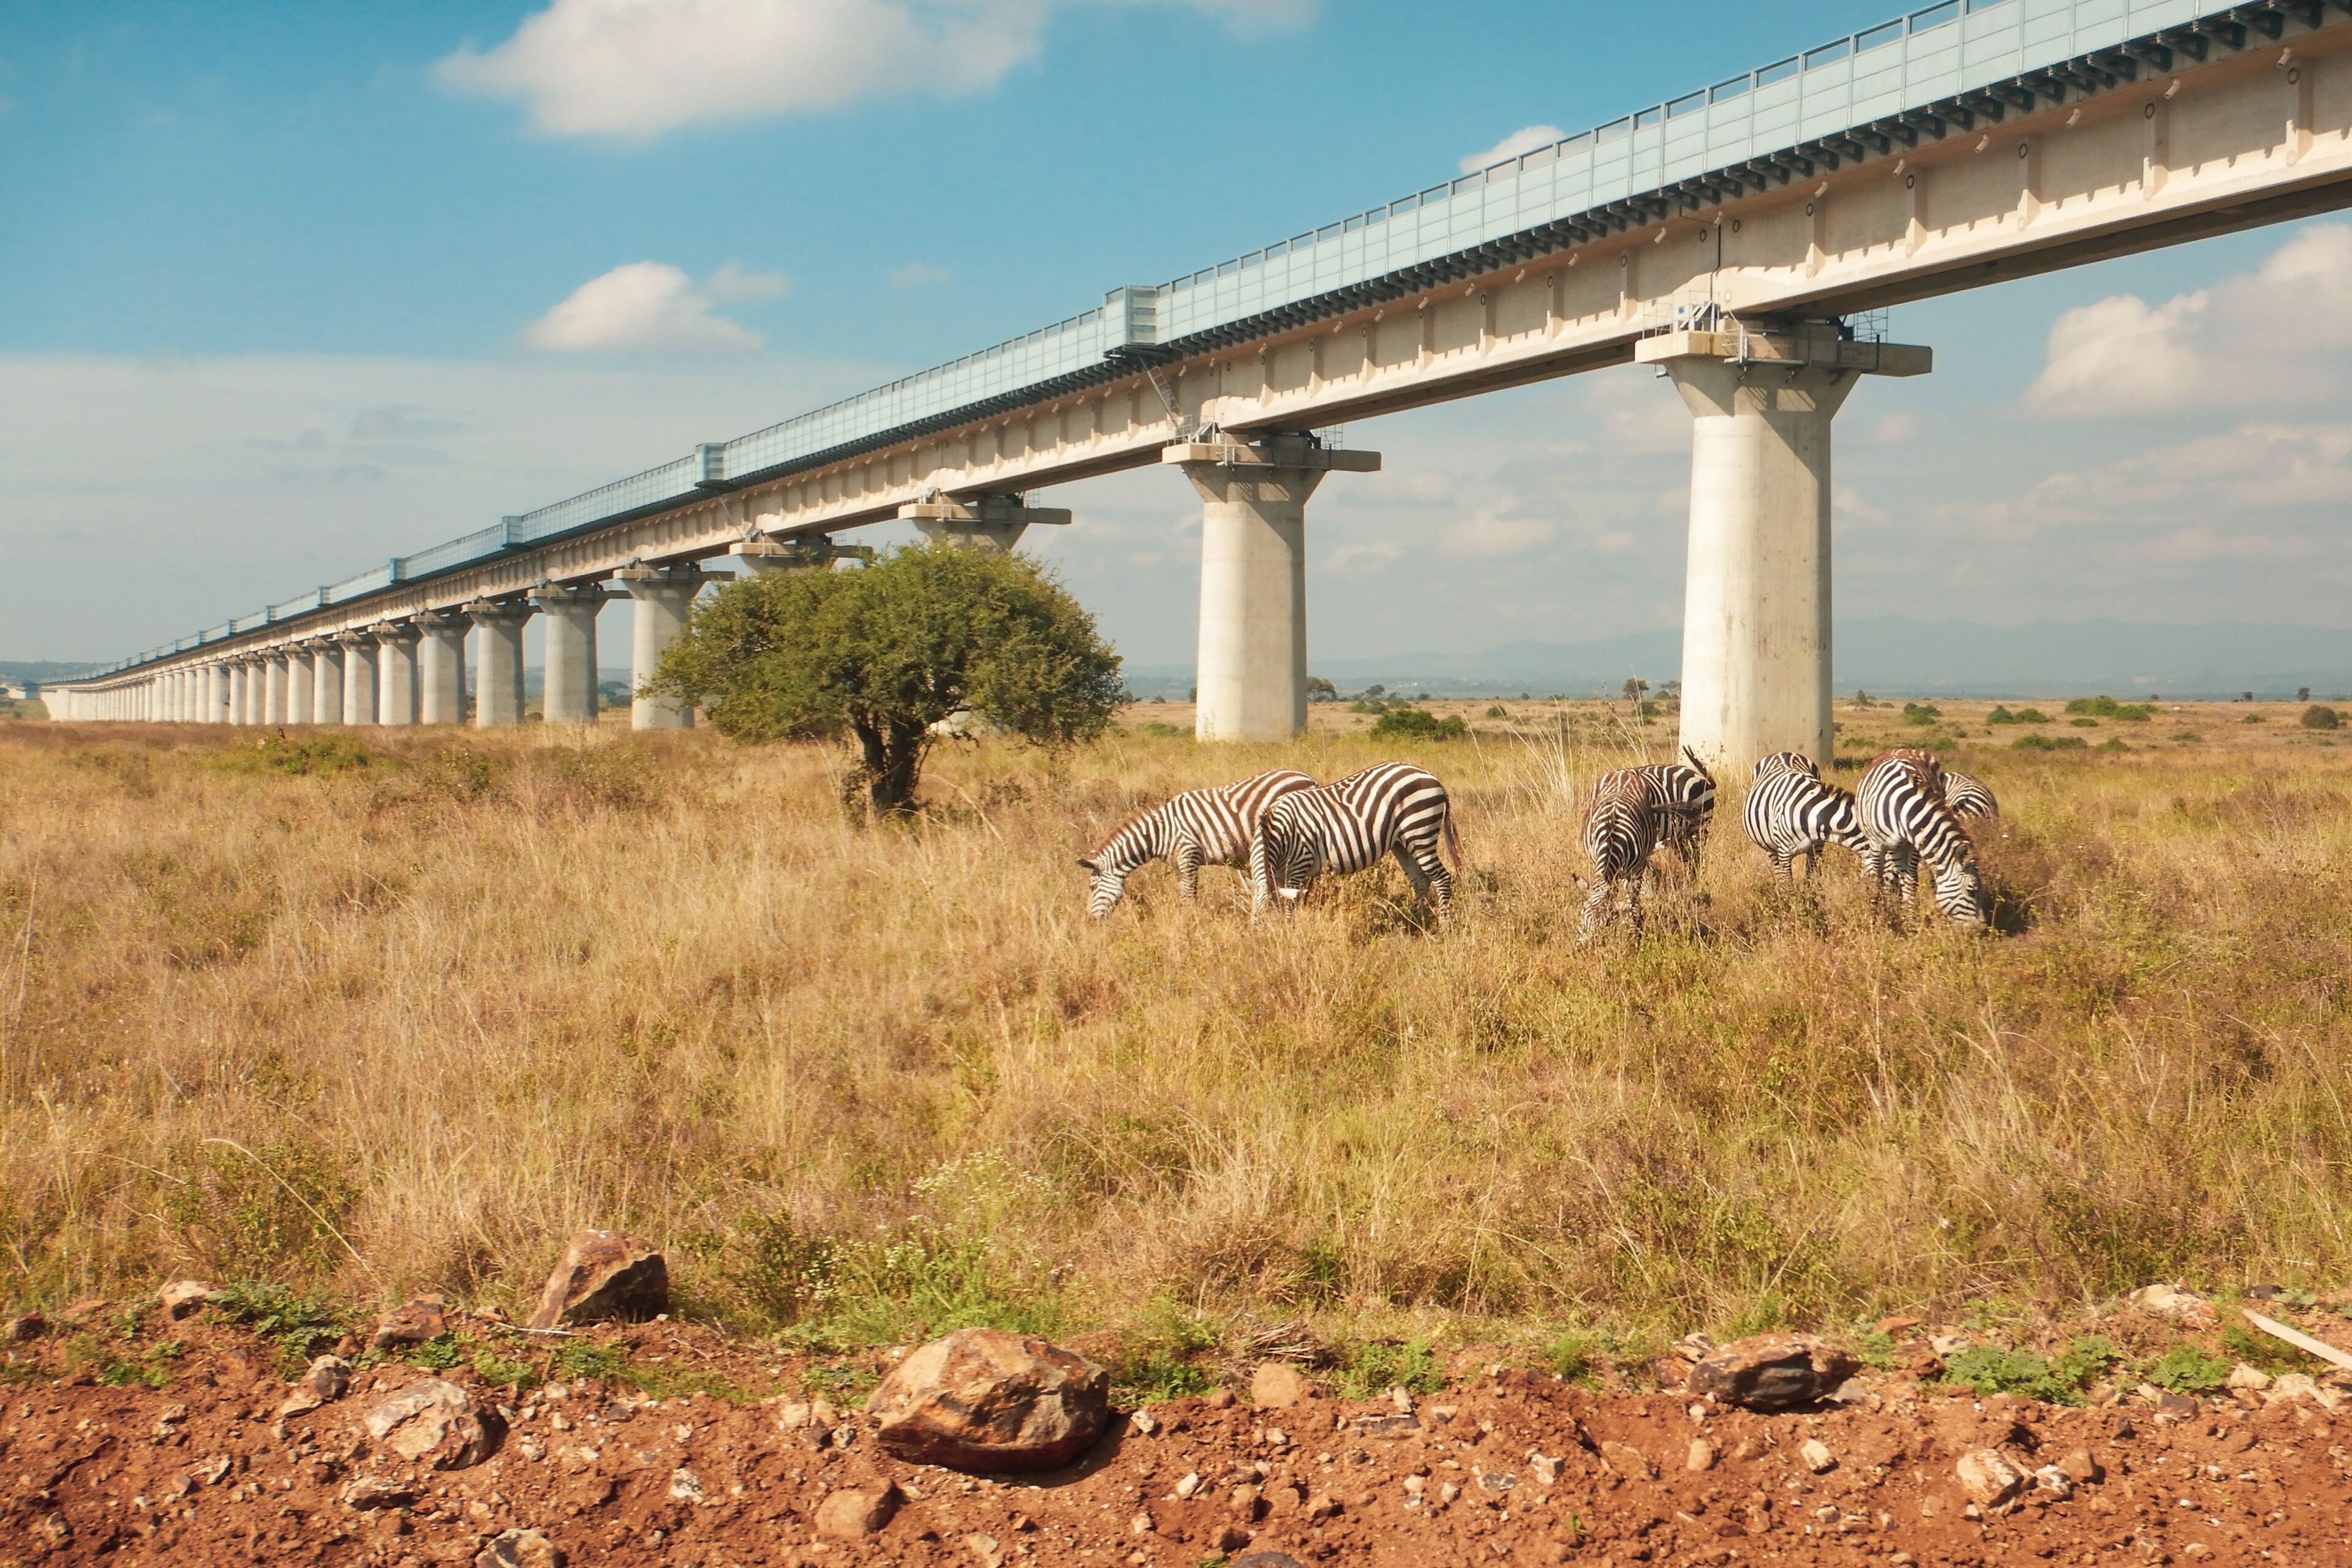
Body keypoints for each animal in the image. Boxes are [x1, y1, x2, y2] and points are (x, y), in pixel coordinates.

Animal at [1079, 768, 1315, 918]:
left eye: (1093, 887)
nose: (1090, 921)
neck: (1161, 832)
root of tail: (1307, 778)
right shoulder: (1179, 865)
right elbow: (1184, 894)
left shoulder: (1189, 855)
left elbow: (1189, 897)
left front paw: (1191, 926)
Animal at [1250, 762, 1460, 925]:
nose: (1257, 941)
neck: (1277, 836)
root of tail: (1431, 777)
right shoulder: (1279, 875)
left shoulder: (1298, 864)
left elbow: (1290, 905)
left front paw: (1289, 928)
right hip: (1403, 843)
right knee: (1421, 879)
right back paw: (1416, 923)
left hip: (1420, 831)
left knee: (1442, 878)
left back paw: (1444, 926)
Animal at [1742, 755, 1871, 883]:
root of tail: (1782, 753)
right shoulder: (1784, 852)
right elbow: (1788, 882)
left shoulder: (1817, 848)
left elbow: (1809, 877)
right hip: (1770, 847)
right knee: (1778, 871)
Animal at [1856, 748, 1990, 928]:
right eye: (1972, 891)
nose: (1982, 927)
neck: (1903, 809)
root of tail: (1902, 748)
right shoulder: (1877, 845)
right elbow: (1877, 880)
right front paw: (1874, 918)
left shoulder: (1914, 845)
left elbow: (1911, 881)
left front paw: (1910, 920)